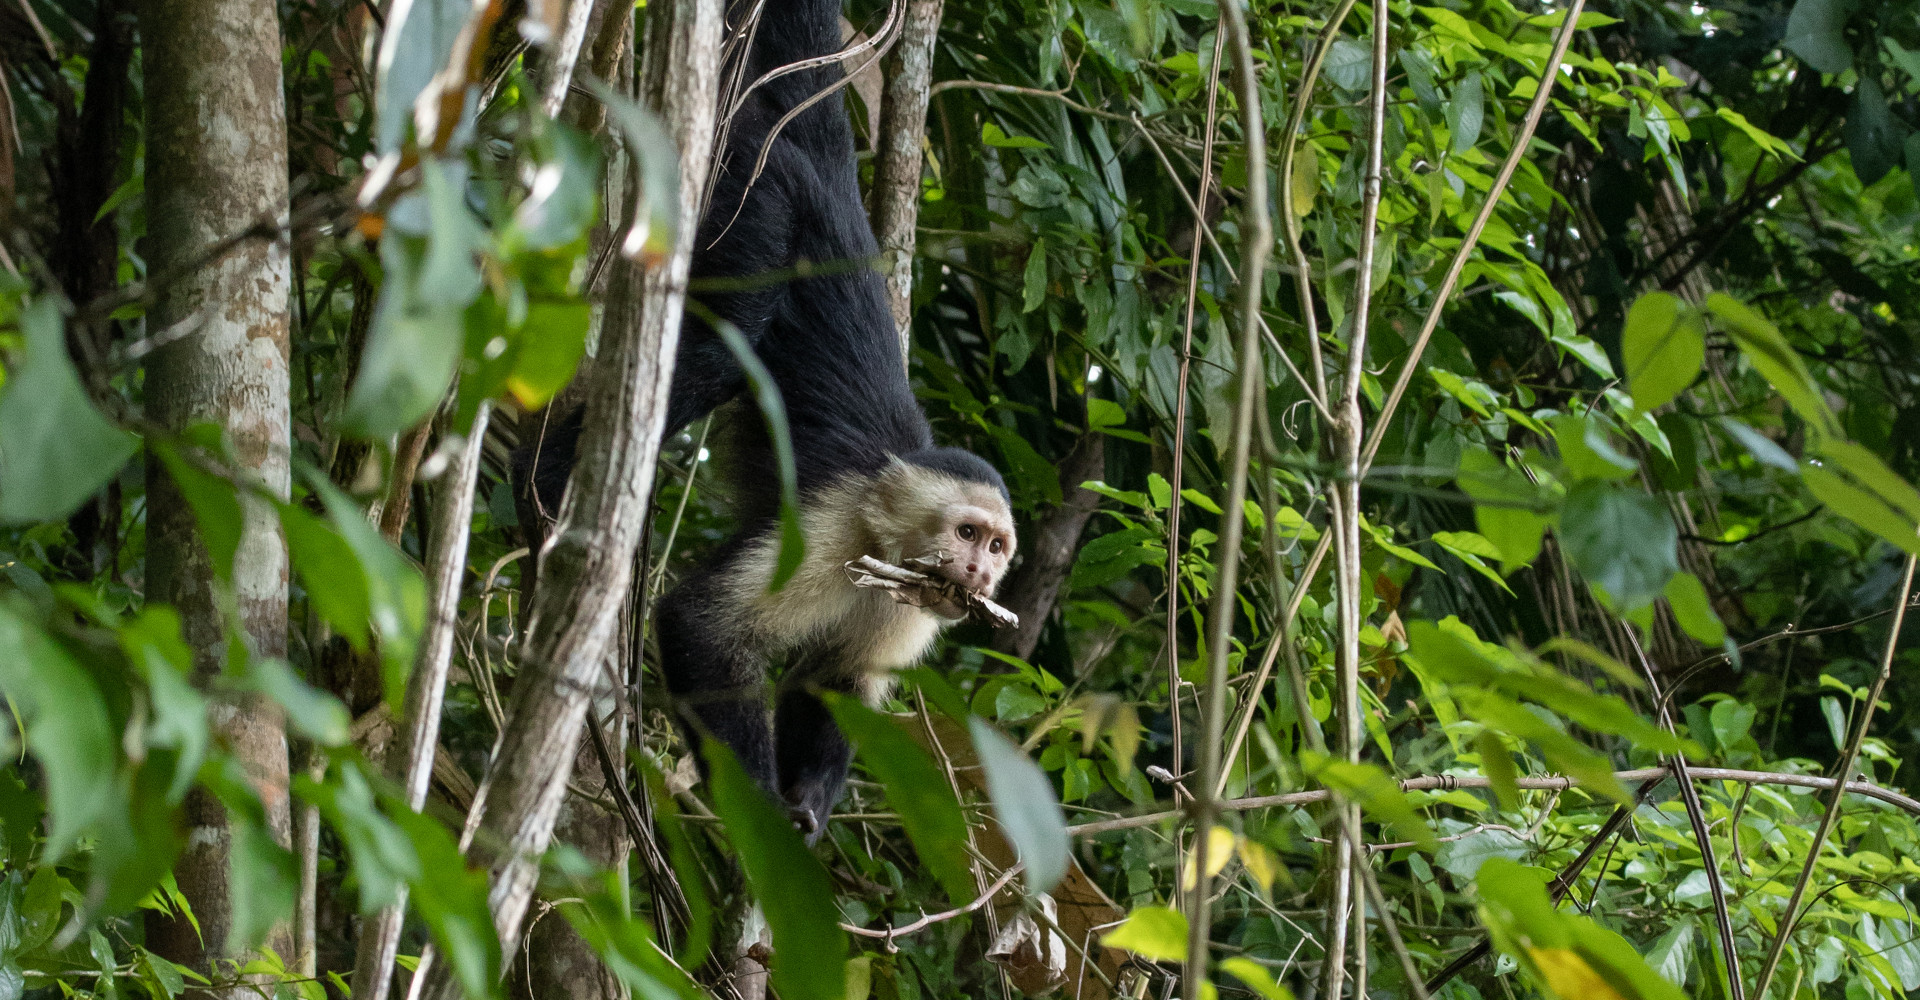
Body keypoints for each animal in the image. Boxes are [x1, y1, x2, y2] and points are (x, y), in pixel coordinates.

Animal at [518, 0, 1013, 833]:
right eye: (967, 533)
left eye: (998, 547)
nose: (980, 569)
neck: (882, 539)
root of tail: (820, 179)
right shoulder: (830, 525)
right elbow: (701, 628)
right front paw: (752, 808)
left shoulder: (910, 606)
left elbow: (841, 683)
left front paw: (806, 809)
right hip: (755, 195)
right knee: (728, 337)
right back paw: (550, 480)